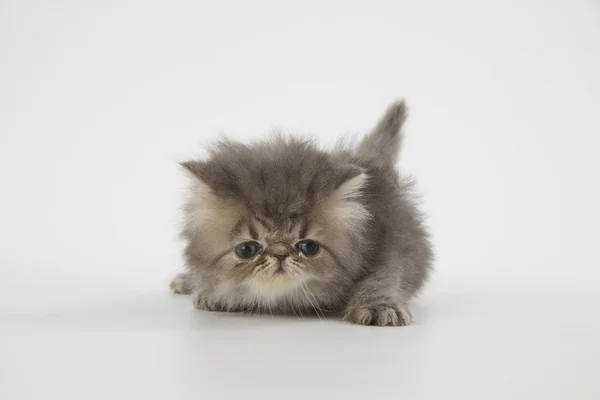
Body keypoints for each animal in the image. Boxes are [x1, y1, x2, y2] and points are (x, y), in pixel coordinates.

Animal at [171, 101, 434, 326]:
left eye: (309, 247)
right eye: (246, 249)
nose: (279, 254)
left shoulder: (388, 242)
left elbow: (380, 279)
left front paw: (379, 307)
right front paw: (215, 293)